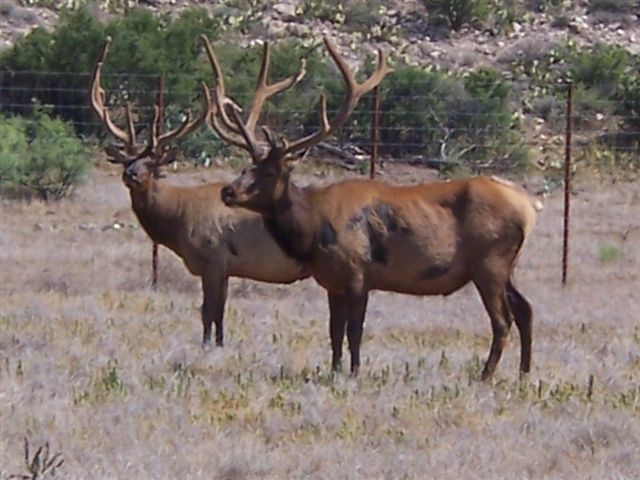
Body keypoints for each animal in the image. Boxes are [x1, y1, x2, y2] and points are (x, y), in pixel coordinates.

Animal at [90, 34, 308, 348]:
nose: (130, 174)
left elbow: (208, 312)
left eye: (152, 163)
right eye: (126, 159)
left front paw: (207, 347)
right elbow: (219, 315)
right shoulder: (225, 267)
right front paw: (219, 344)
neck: (177, 219)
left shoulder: (213, 259)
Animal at [212, 36, 544, 382]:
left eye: (269, 172)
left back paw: (485, 375)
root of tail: (530, 206)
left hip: (490, 260)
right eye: (247, 166)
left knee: (502, 319)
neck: (313, 232)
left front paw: (355, 373)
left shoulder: (359, 273)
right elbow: (334, 332)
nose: (228, 191)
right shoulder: (333, 282)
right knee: (525, 309)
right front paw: (334, 371)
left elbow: (354, 332)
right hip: (507, 264)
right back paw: (524, 373)